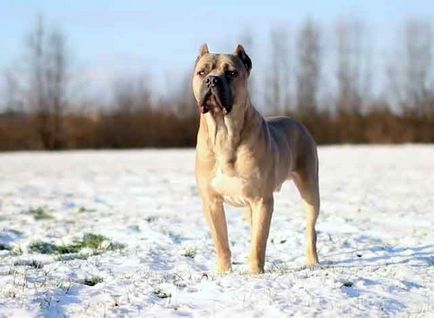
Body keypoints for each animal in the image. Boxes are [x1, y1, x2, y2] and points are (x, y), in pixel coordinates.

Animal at [192, 44, 318, 274]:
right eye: (202, 72)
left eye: (232, 73)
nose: (212, 80)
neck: (223, 132)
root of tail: (298, 123)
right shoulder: (212, 202)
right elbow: (221, 242)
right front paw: (224, 273)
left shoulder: (262, 200)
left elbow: (259, 242)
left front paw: (255, 274)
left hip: (310, 189)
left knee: (310, 229)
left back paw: (312, 261)